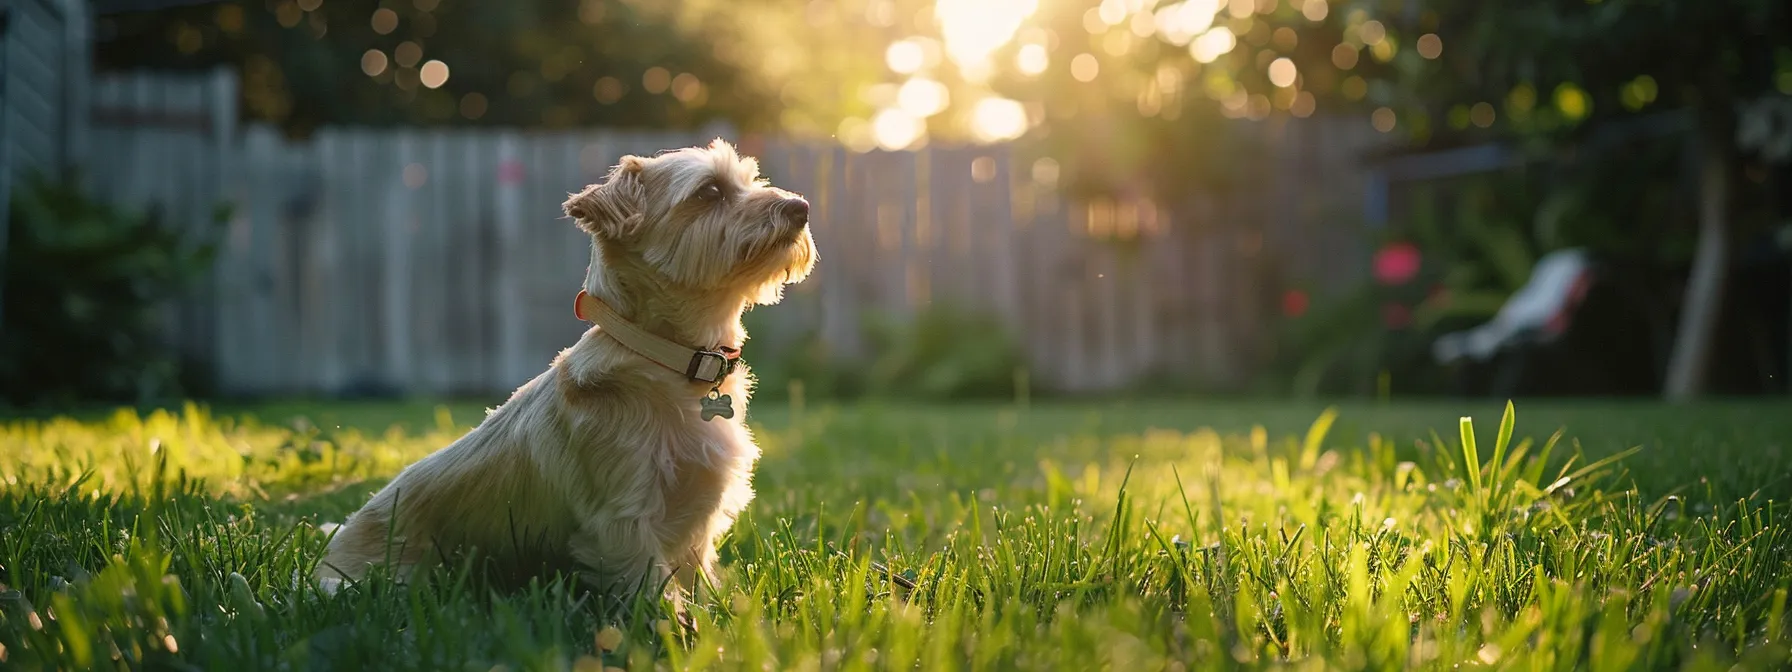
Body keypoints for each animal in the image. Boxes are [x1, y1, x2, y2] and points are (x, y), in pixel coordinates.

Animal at [320, 137, 820, 616]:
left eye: (751, 180)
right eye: (710, 191)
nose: (801, 207)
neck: (670, 360)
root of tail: (328, 548)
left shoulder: (695, 523)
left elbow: (698, 581)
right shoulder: (622, 517)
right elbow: (655, 597)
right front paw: (683, 633)